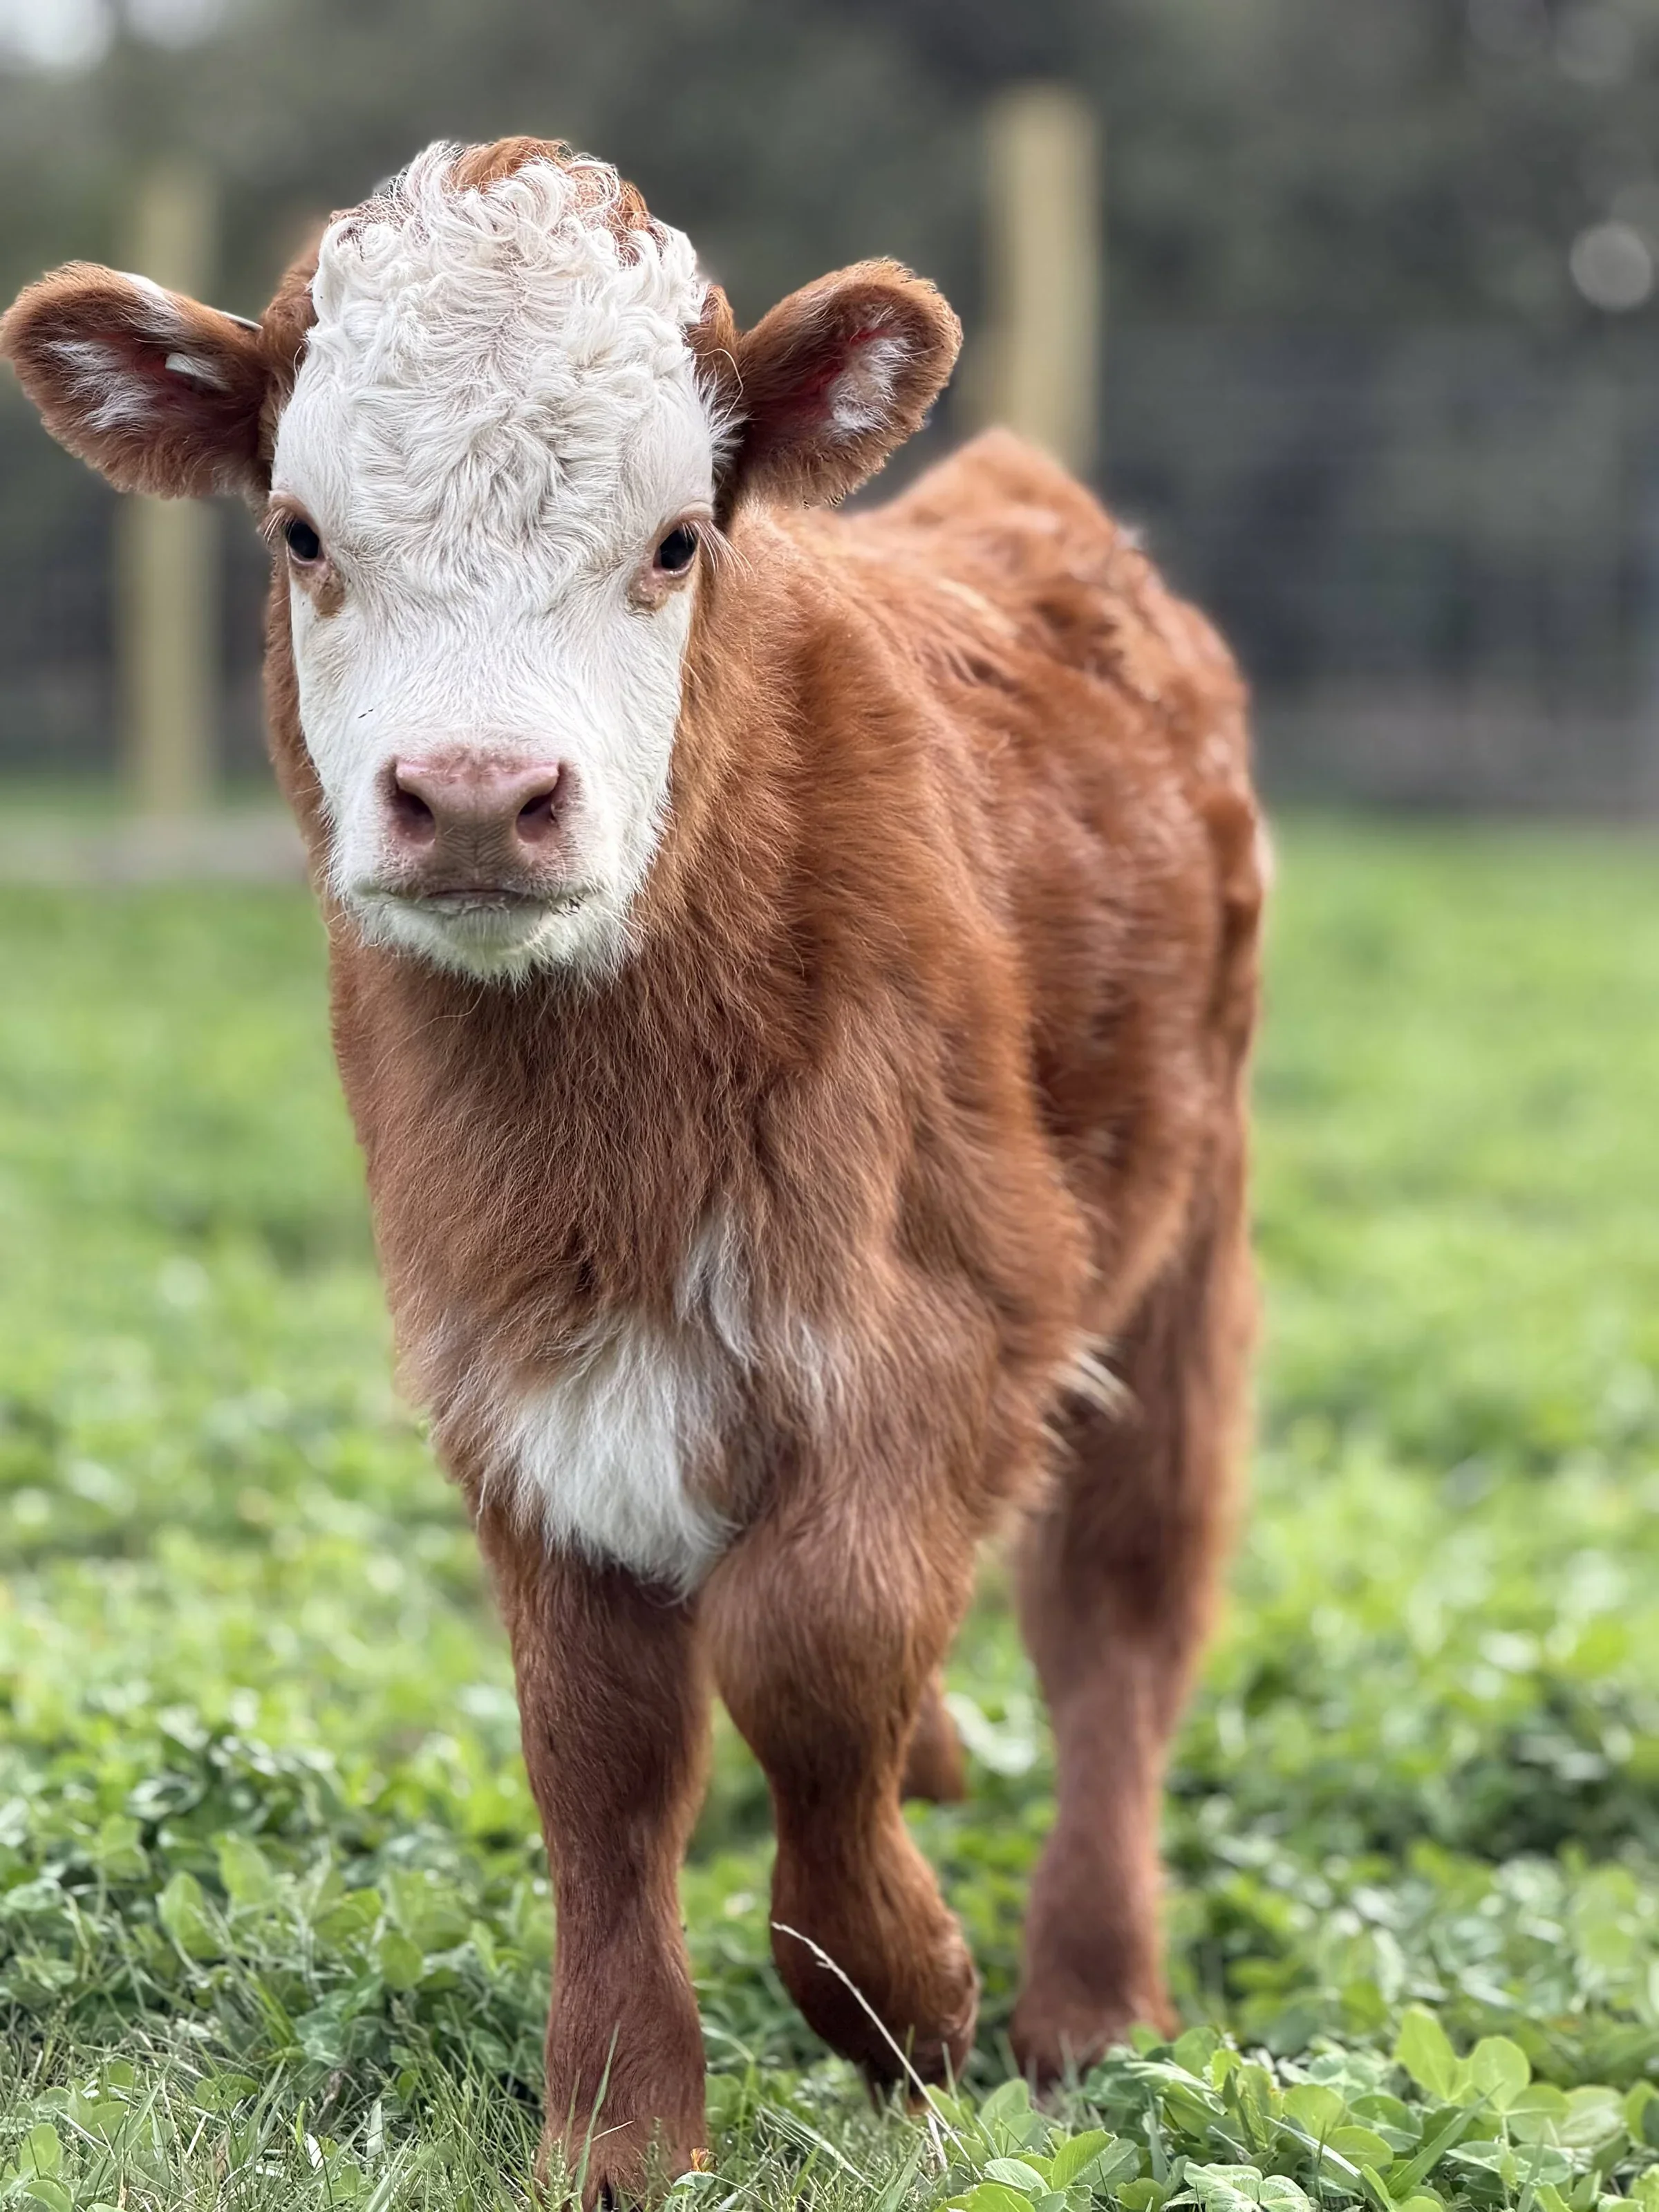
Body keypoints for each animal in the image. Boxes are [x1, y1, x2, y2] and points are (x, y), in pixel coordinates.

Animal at [2, 137, 1265, 2203]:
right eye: (300, 533)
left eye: (676, 540)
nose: (478, 796)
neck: (602, 1135)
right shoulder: (505, 1357)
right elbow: (597, 1741)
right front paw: (617, 2125)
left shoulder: (945, 1310)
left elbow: (813, 1642)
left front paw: (905, 1995)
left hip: (1181, 1247)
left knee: (1118, 1622)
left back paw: (1089, 2003)